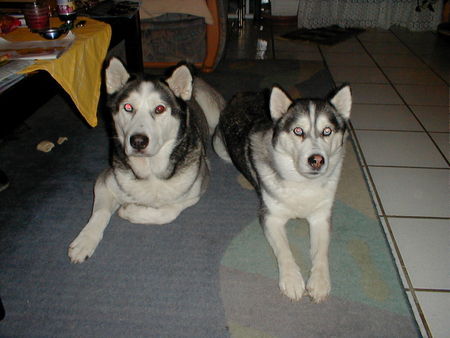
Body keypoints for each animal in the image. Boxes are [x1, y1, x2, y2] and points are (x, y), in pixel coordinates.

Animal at [68, 58, 225, 262]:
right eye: (128, 107)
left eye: (159, 108)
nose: (138, 141)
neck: (151, 171)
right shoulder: (105, 181)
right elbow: (99, 212)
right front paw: (85, 240)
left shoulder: (197, 188)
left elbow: (169, 211)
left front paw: (130, 211)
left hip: (212, 112)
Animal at [214, 86, 352, 302]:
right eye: (298, 131)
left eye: (327, 131)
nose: (317, 160)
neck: (303, 185)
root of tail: (244, 94)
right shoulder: (271, 216)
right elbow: (284, 250)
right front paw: (292, 280)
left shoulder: (321, 216)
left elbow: (321, 251)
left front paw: (320, 281)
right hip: (219, 148)